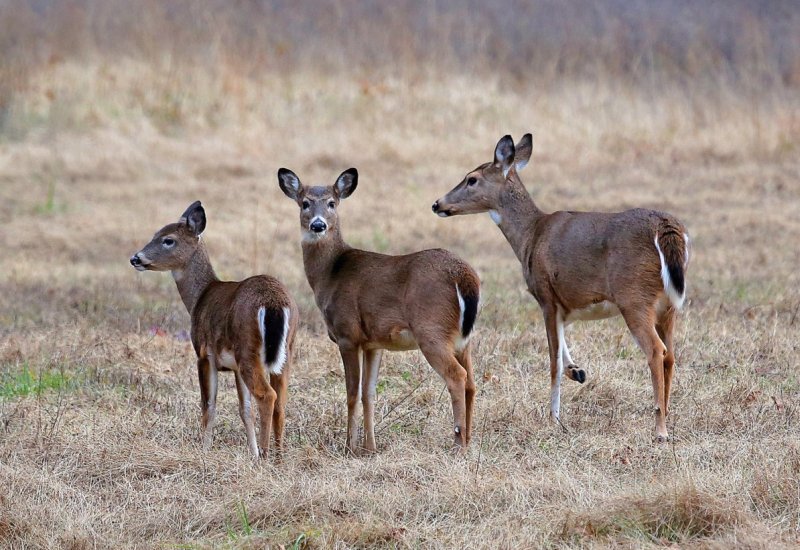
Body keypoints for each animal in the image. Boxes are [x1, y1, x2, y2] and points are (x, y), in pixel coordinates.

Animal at [130, 201, 298, 460]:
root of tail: (274, 302)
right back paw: (278, 457)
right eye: (155, 234)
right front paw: (252, 453)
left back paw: (267, 455)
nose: (135, 258)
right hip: (286, 351)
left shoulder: (204, 354)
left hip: (248, 349)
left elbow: (208, 405)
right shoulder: (235, 367)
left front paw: (204, 450)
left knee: (267, 395)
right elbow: (244, 410)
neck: (200, 297)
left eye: (168, 240)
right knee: (280, 400)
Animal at [280, 170, 482, 454]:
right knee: (472, 382)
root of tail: (465, 278)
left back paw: (458, 443)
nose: (318, 225)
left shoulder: (347, 334)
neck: (330, 273)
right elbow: (369, 393)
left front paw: (350, 446)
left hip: (432, 330)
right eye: (305, 203)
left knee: (457, 376)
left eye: (332, 203)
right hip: (464, 340)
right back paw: (470, 440)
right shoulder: (373, 343)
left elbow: (352, 393)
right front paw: (370, 447)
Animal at [434, 136, 692, 442]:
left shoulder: (546, 296)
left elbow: (553, 362)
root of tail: (668, 228)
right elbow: (562, 348)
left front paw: (554, 418)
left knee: (656, 351)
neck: (530, 236)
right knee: (671, 354)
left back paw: (660, 429)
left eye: (471, 179)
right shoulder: (565, 304)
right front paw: (577, 371)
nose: (437, 204)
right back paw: (668, 416)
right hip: (668, 305)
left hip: (634, 298)